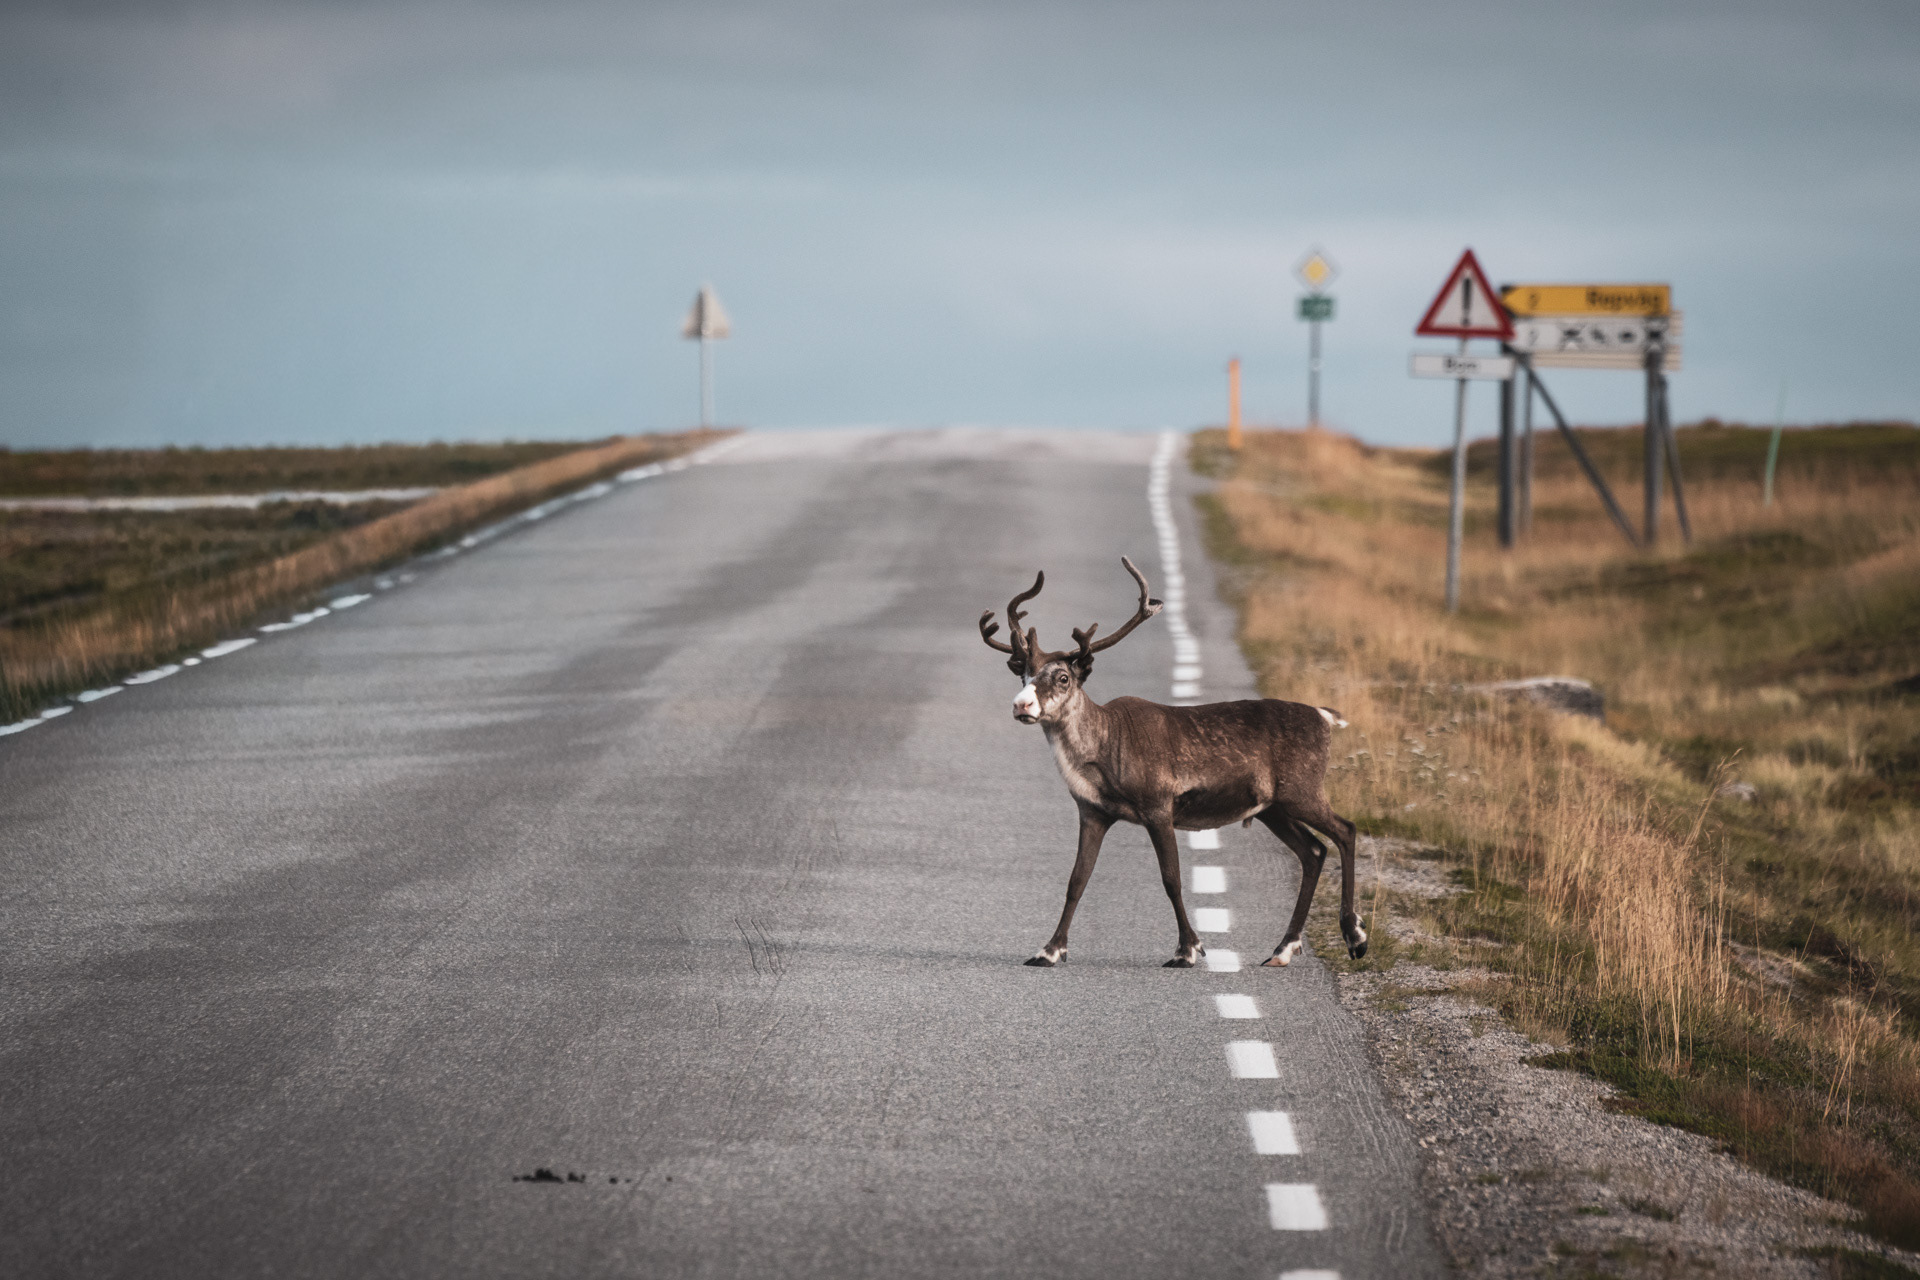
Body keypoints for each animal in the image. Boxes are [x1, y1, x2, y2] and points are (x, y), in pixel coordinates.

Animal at [979, 557, 1367, 970]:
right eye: (1023, 674)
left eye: (1064, 677)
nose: (1021, 704)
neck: (1103, 749)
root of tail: (1325, 717)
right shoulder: (1092, 812)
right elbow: (1076, 880)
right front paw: (1049, 950)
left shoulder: (1158, 806)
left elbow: (1171, 879)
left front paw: (1188, 949)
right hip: (1271, 808)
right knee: (1313, 852)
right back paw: (1283, 949)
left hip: (1303, 790)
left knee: (1345, 830)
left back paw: (1355, 937)